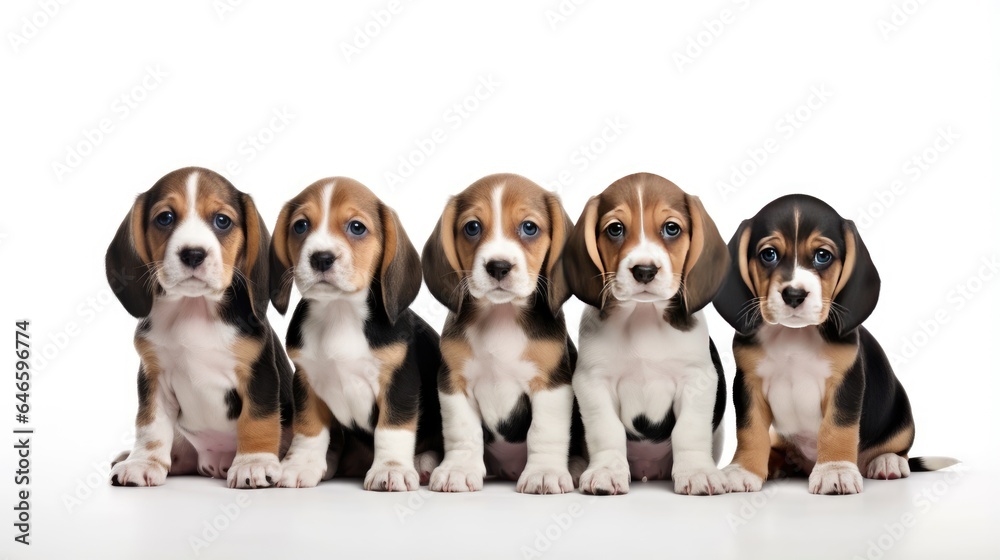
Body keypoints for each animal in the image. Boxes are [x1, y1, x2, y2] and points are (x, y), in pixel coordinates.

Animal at [105, 167, 292, 490]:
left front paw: (253, 463)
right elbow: (150, 425)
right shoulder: (154, 376)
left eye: (222, 220)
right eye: (165, 218)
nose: (193, 254)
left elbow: (258, 420)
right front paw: (143, 463)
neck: (194, 308)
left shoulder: (259, 373)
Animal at [268, 176, 444, 490]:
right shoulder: (306, 381)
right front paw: (301, 465)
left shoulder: (399, 382)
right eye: (300, 225)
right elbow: (308, 429)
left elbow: (393, 427)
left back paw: (424, 462)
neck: (340, 312)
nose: (321, 258)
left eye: (357, 227)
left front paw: (391, 468)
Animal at [420, 173, 580, 492]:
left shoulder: (552, 384)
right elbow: (462, 431)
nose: (498, 266)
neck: (501, 315)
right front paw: (458, 469)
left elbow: (545, 431)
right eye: (472, 227)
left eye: (529, 227)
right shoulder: (453, 382)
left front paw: (544, 472)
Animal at [564, 174, 736, 494]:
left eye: (671, 228)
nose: (644, 270)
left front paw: (696, 472)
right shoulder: (593, 381)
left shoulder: (697, 379)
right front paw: (607, 471)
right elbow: (606, 430)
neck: (643, 315)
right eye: (615, 229)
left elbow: (689, 431)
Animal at [716, 194, 956, 494]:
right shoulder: (748, 383)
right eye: (768, 254)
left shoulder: (845, 383)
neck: (794, 335)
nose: (794, 294)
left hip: (900, 412)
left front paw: (836, 470)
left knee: (896, 448)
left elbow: (838, 427)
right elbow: (750, 430)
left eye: (823, 256)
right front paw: (744, 470)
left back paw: (887, 462)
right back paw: (776, 463)